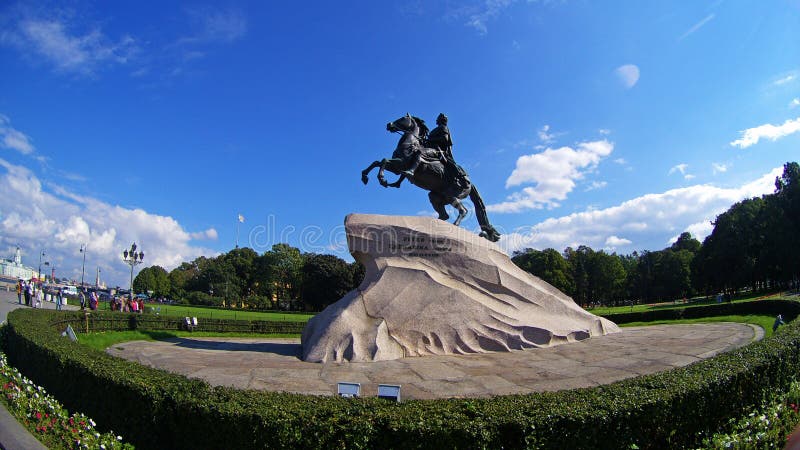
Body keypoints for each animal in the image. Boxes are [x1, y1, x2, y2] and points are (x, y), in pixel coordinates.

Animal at [362, 115, 500, 243]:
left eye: (402, 118)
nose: (389, 125)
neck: (410, 143)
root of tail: (471, 184)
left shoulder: (401, 164)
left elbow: (384, 160)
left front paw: (382, 179)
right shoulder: (396, 168)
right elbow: (377, 162)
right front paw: (365, 177)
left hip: (452, 195)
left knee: (463, 210)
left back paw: (454, 225)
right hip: (436, 196)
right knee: (444, 215)